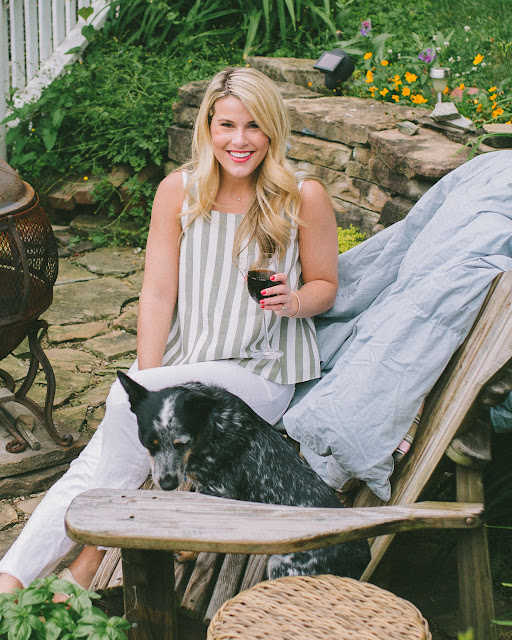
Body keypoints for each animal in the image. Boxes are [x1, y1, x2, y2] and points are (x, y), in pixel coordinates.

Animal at [117, 371, 371, 580]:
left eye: (182, 443)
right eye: (149, 443)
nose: (168, 484)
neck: (213, 426)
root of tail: (363, 558)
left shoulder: (217, 494)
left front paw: (189, 554)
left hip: (283, 565)